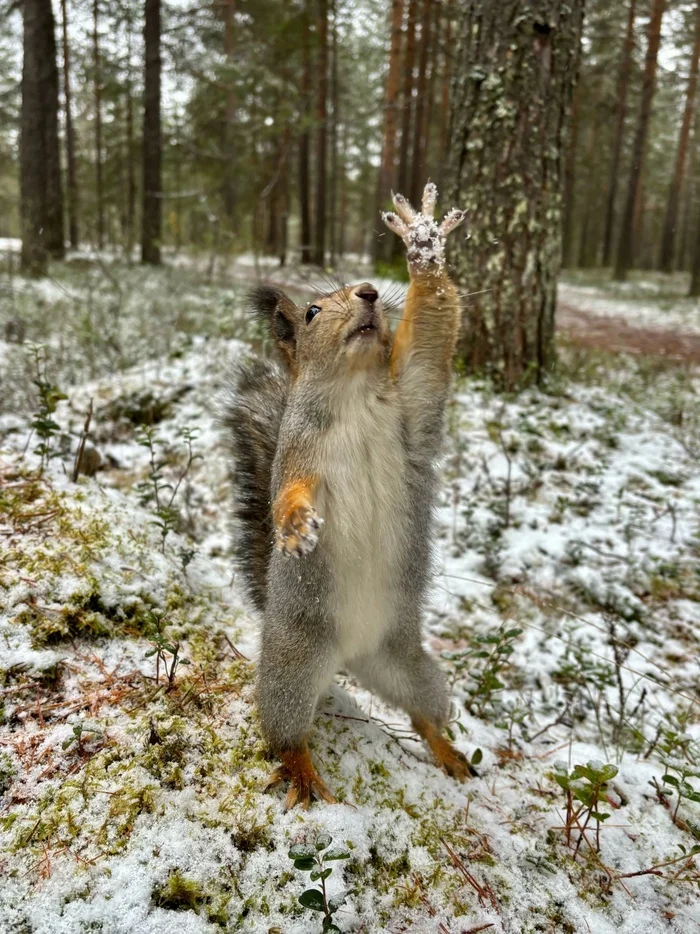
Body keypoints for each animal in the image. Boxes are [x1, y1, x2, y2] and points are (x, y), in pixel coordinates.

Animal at [223, 185, 476, 812]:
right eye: (313, 312)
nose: (368, 293)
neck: (355, 387)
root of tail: (350, 658)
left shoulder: (414, 396)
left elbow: (432, 331)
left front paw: (423, 243)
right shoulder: (299, 455)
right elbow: (288, 493)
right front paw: (294, 528)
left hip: (409, 664)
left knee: (423, 710)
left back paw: (447, 751)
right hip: (291, 669)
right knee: (285, 729)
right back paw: (301, 770)